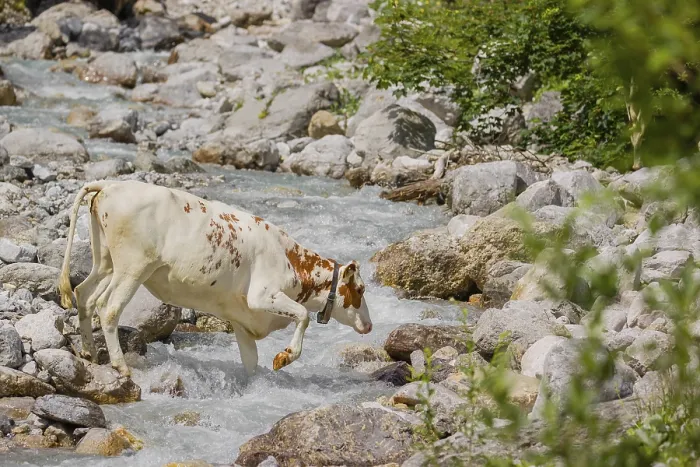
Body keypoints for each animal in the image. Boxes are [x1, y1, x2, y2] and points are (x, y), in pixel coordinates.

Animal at [58, 180, 373, 378]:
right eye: (360, 289)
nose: (369, 325)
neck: (291, 259)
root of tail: (111, 185)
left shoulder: (242, 320)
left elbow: (251, 362)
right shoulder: (262, 295)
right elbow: (303, 316)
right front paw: (285, 357)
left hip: (106, 262)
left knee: (84, 295)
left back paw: (88, 352)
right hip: (133, 267)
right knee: (108, 307)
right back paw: (120, 366)